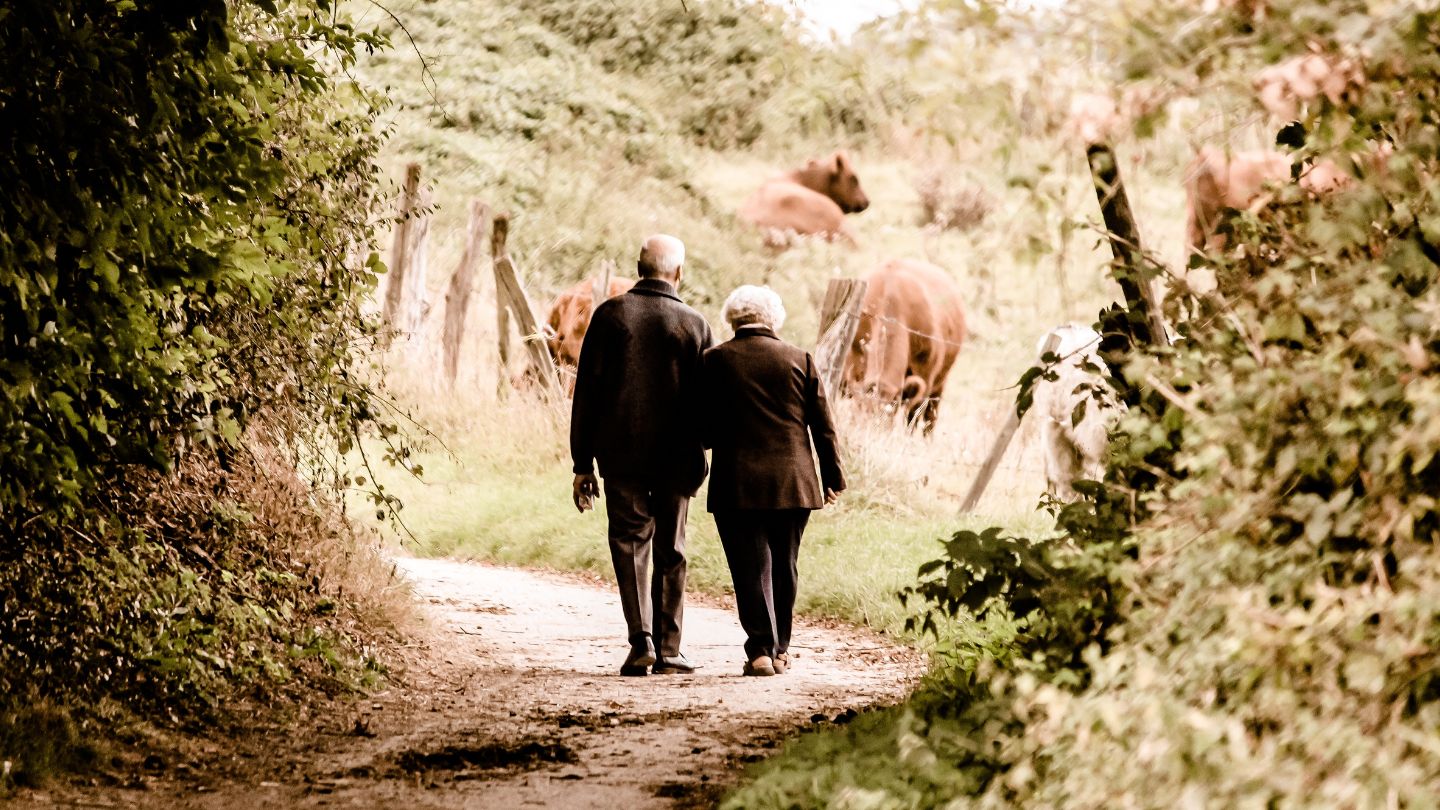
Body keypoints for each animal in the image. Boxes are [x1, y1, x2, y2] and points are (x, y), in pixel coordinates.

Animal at [842, 259, 967, 434]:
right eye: (862, 413)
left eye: (887, 416)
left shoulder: (925, 377)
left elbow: (912, 418)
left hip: (940, 384)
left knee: (930, 418)